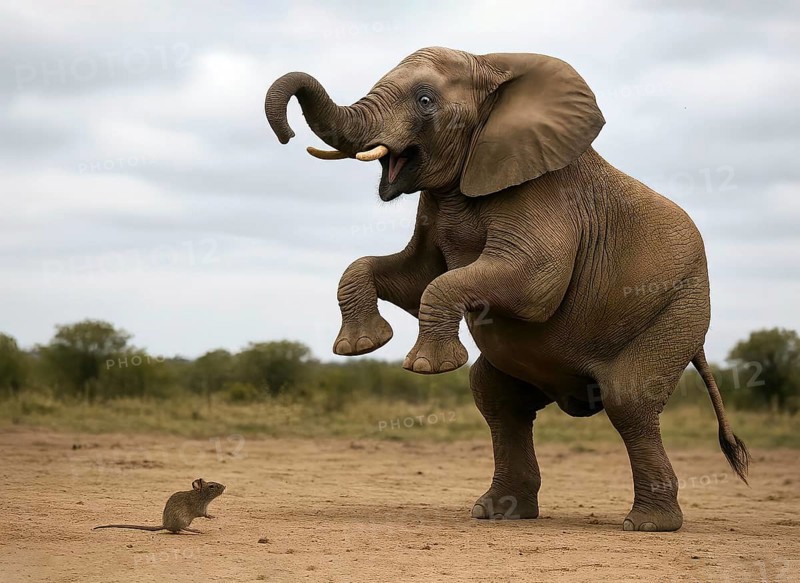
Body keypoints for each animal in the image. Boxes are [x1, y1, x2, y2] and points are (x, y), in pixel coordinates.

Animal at [264, 47, 749, 531]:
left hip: (679, 309)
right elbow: (411, 277)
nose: (287, 136)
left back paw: (647, 524)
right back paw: (498, 513)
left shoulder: (544, 194)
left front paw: (426, 368)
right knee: (496, 399)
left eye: (425, 100)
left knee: (629, 401)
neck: (491, 65)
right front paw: (362, 346)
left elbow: (532, 285)